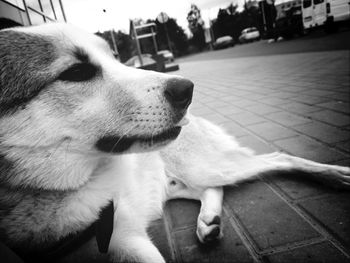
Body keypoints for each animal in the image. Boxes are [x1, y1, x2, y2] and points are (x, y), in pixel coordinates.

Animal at [0, 23, 348, 262]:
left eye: (115, 58)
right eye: (76, 71)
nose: (187, 89)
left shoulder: (125, 238)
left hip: (203, 166)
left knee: (277, 157)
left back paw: (336, 175)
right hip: (175, 183)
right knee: (213, 188)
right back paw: (208, 220)